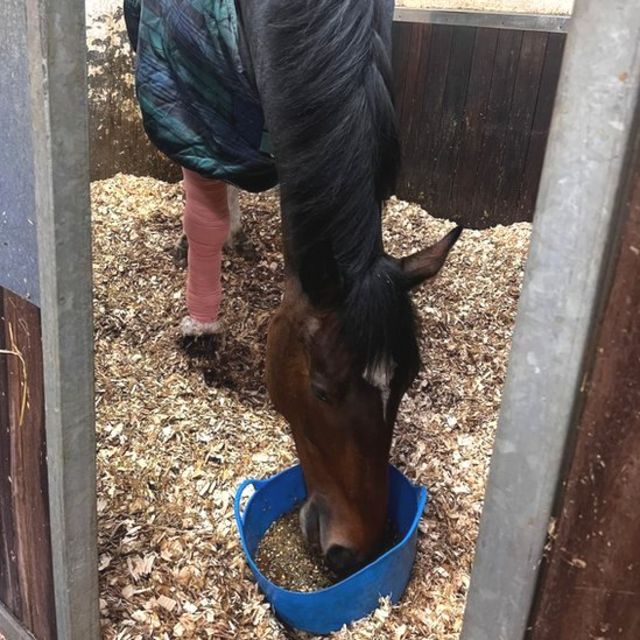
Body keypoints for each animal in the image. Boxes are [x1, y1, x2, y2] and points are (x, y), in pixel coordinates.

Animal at [126, 0, 460, 576]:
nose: (353, 552)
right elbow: (205, 204)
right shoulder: (196, 99)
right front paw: (200, 323)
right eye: (322, 390)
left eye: (406, 383)